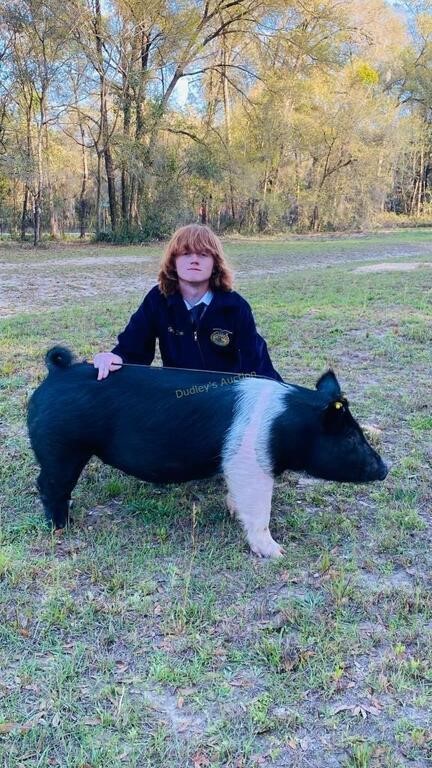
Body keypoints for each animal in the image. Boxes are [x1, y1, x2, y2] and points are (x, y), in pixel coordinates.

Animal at [28, 348, 390, 560]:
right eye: (351, 439)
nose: (385, 468)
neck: (287, 425)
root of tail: (57, 372)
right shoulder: (250, 464)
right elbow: (260, 510)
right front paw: (278, 553)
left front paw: (232, 510)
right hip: (62, 447)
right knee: (48, 484)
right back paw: (62, 526)